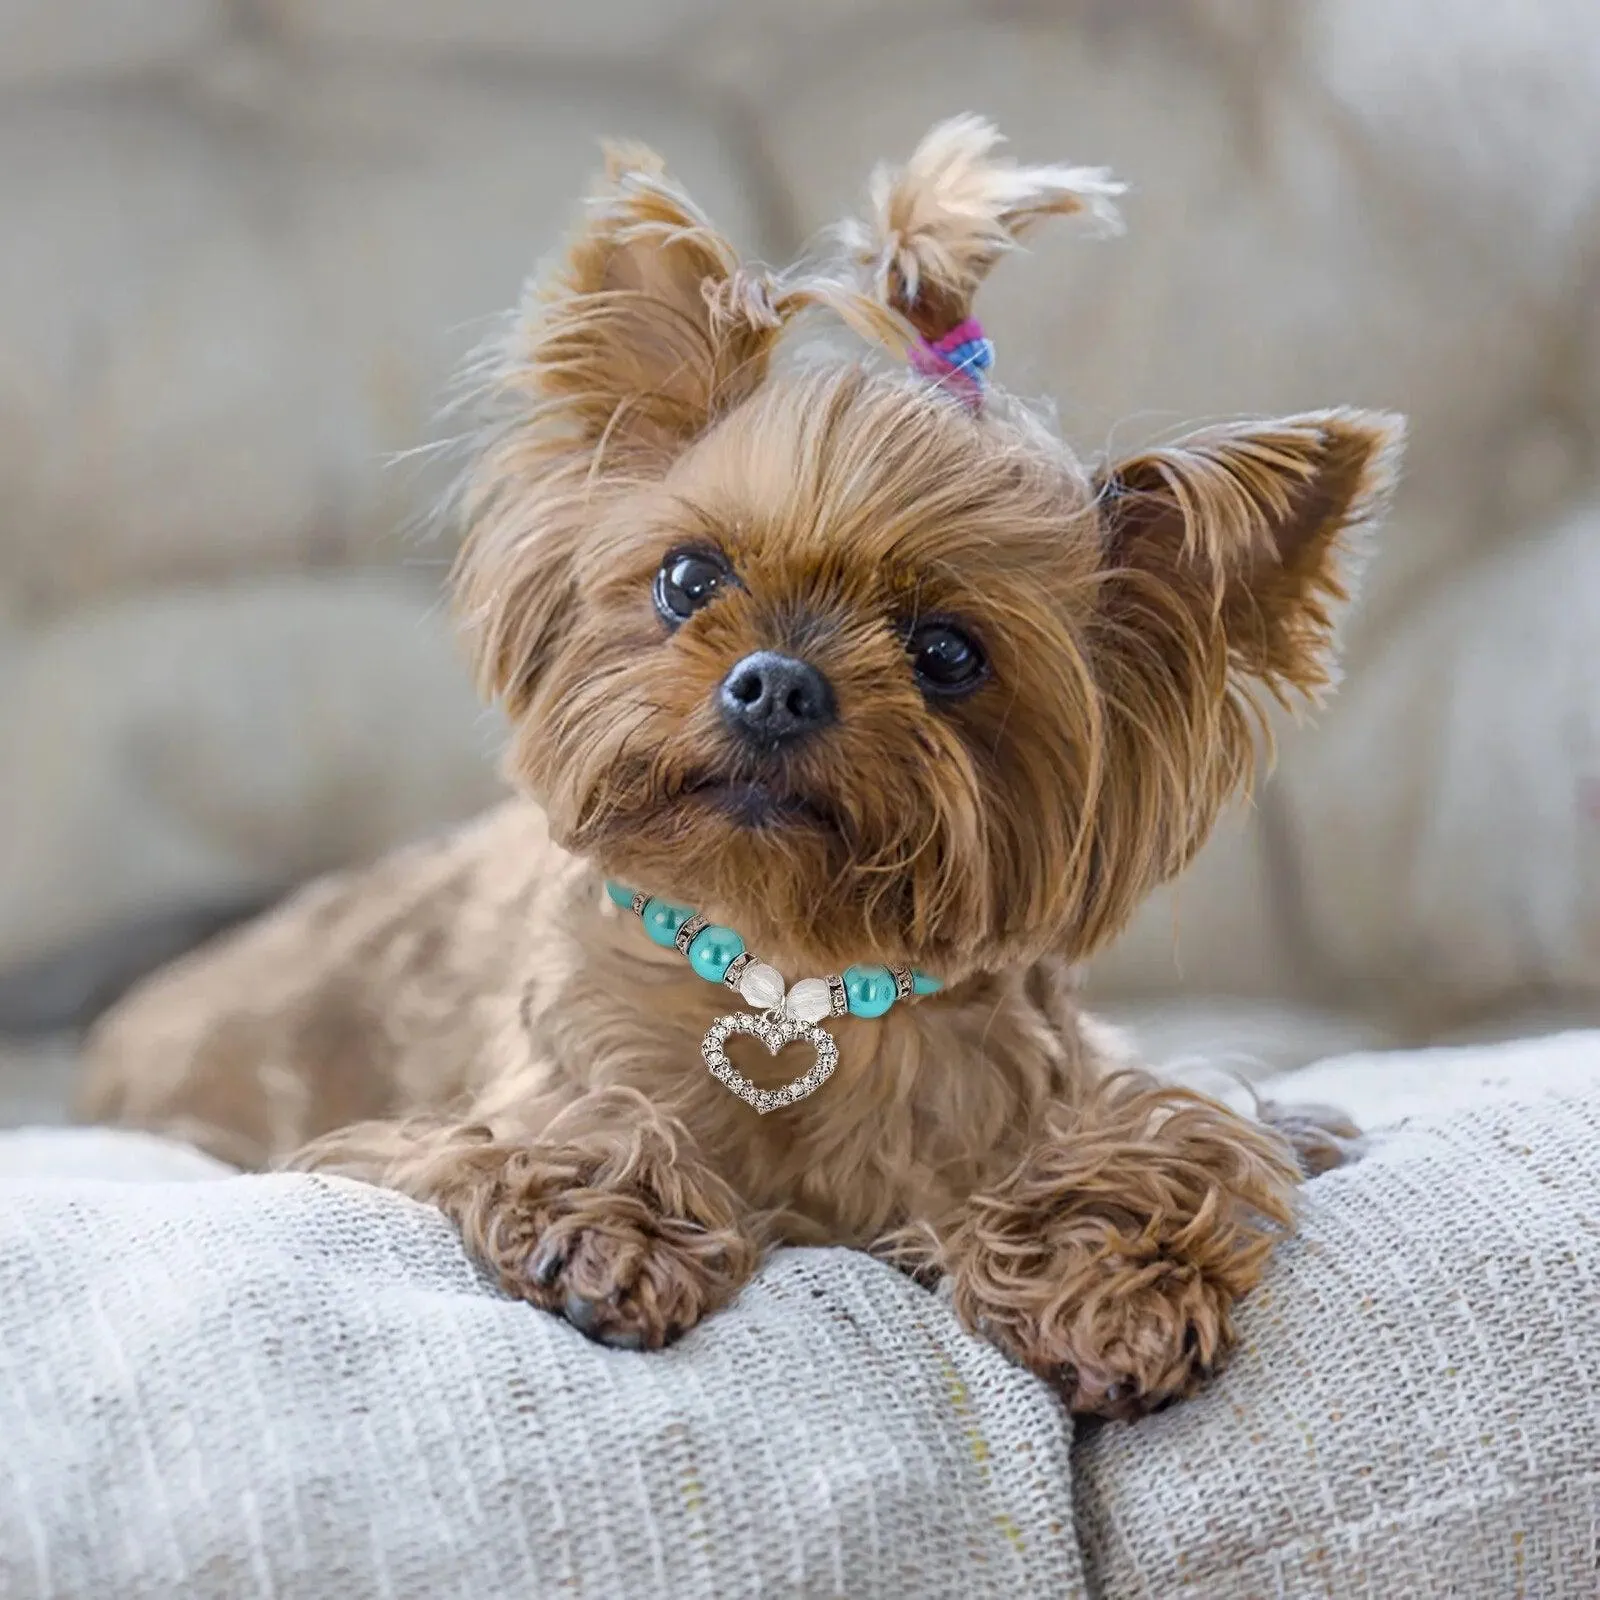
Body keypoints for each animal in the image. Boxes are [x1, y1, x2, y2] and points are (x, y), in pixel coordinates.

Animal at [78, 118, 1401, 1420]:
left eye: (948, 652)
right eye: (687, 578)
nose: (776, 683)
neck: (787, 972)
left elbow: (1168, 1139)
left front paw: (1108, 1285)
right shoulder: (484, 1105)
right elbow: (568, 1130)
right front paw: (612, 1230)